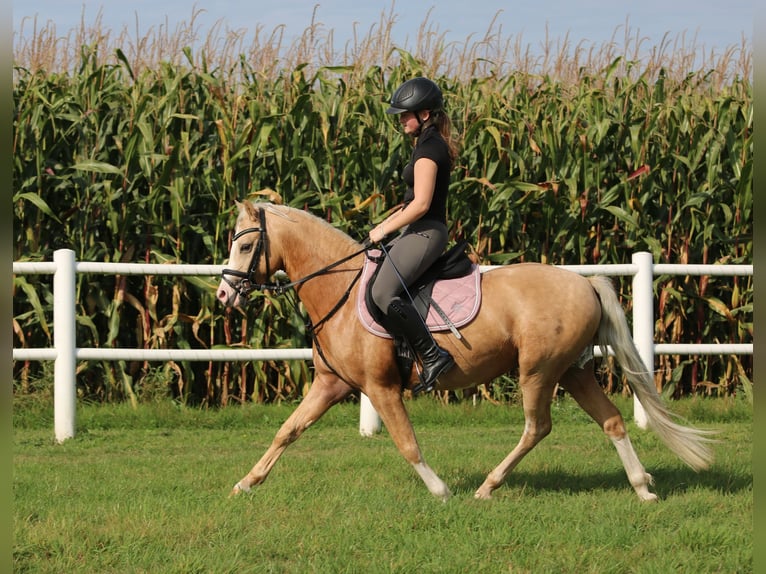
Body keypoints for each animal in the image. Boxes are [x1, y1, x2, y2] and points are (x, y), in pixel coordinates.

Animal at [216, 201, 714, 502]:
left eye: (246, 245)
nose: (223, 296)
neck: (340, 287)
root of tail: (584, 283)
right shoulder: (330, 384)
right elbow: (287, 431)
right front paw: (245, 483)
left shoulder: (381, 388)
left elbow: (407, 444)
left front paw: (440, 491)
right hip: (573, 371)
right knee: (610, 420)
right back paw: (642, 488)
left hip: (539, 372)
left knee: (537, 427)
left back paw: (488, 487)